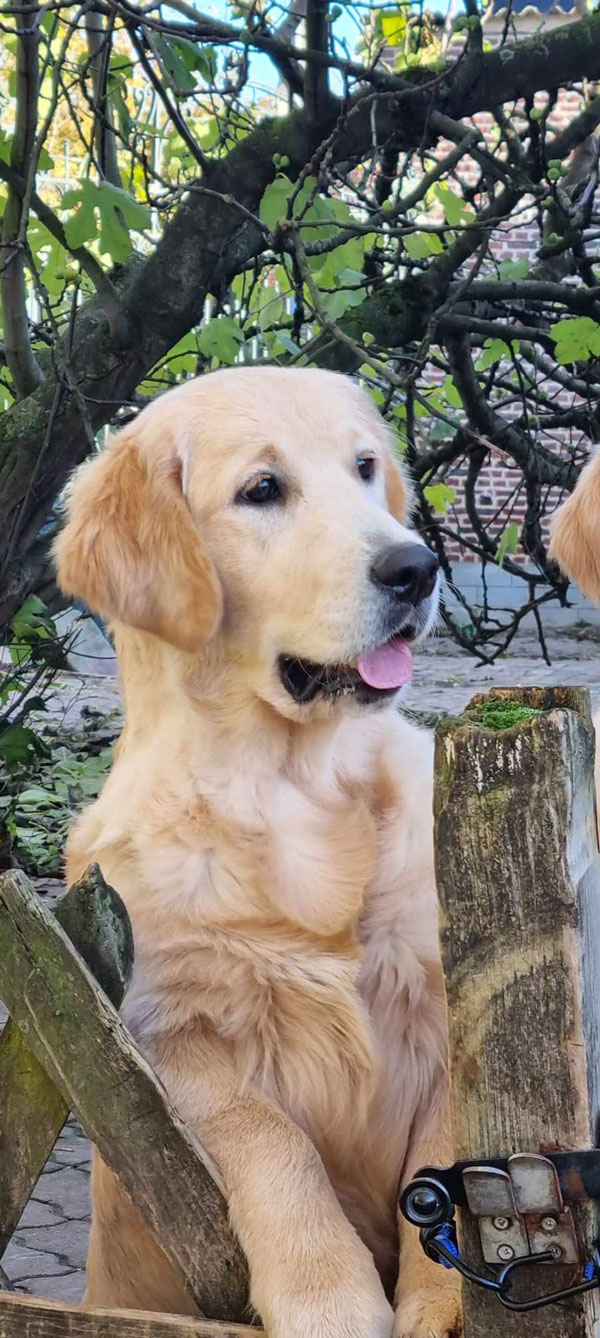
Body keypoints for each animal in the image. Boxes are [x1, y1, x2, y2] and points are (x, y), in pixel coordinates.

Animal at [56, 366, 460, 1338]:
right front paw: (329, 1296)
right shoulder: (164, 1032)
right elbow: (270, 1138)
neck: (293, 789)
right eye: (263, 490)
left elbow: (444, 1161)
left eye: (364, 468)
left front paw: (442, 1303)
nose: (417, 566)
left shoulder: (448, 991)